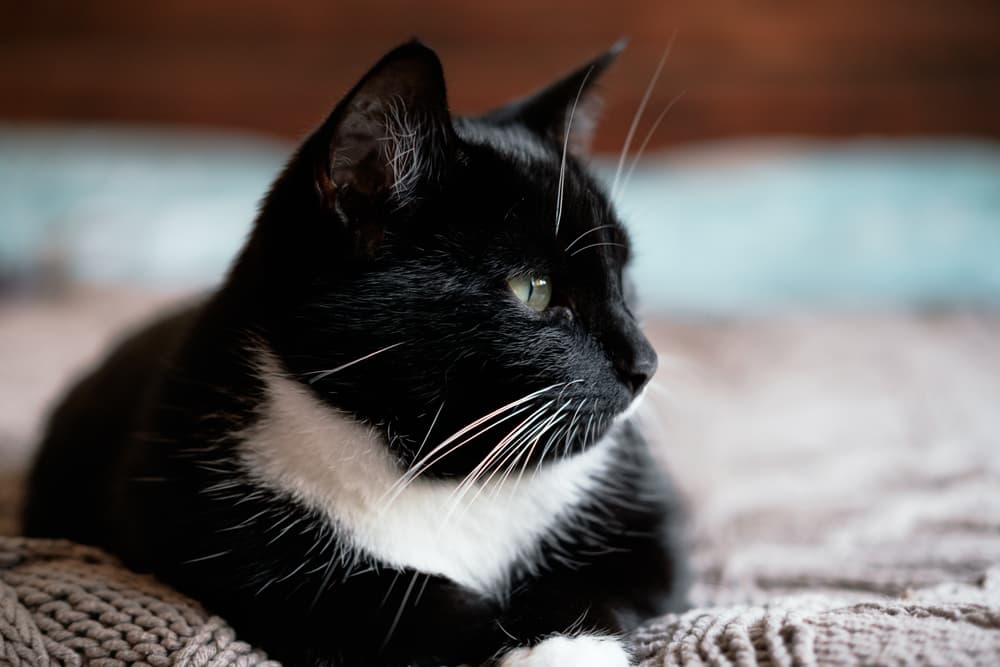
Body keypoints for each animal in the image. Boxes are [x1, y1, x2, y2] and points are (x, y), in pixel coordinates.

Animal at [23, 43, 688, 667]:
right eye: (534, 289)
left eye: (623, 278)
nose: (646, 364)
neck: (436, 475)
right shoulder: (194, 521)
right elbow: (383, 605)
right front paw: (532, 642)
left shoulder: (640, 510)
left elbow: (619, 570)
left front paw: (567, 642)